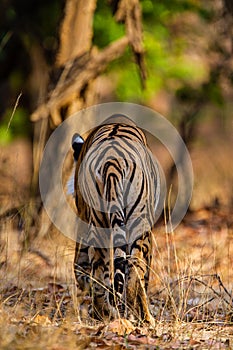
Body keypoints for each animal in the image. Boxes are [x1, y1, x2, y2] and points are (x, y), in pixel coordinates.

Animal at [70, 115, 159, 326]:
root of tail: (111, 162)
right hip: (137, 225)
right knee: (133, 271)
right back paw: (141, 317)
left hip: (102, 224)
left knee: (102, 271)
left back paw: (108, 313)